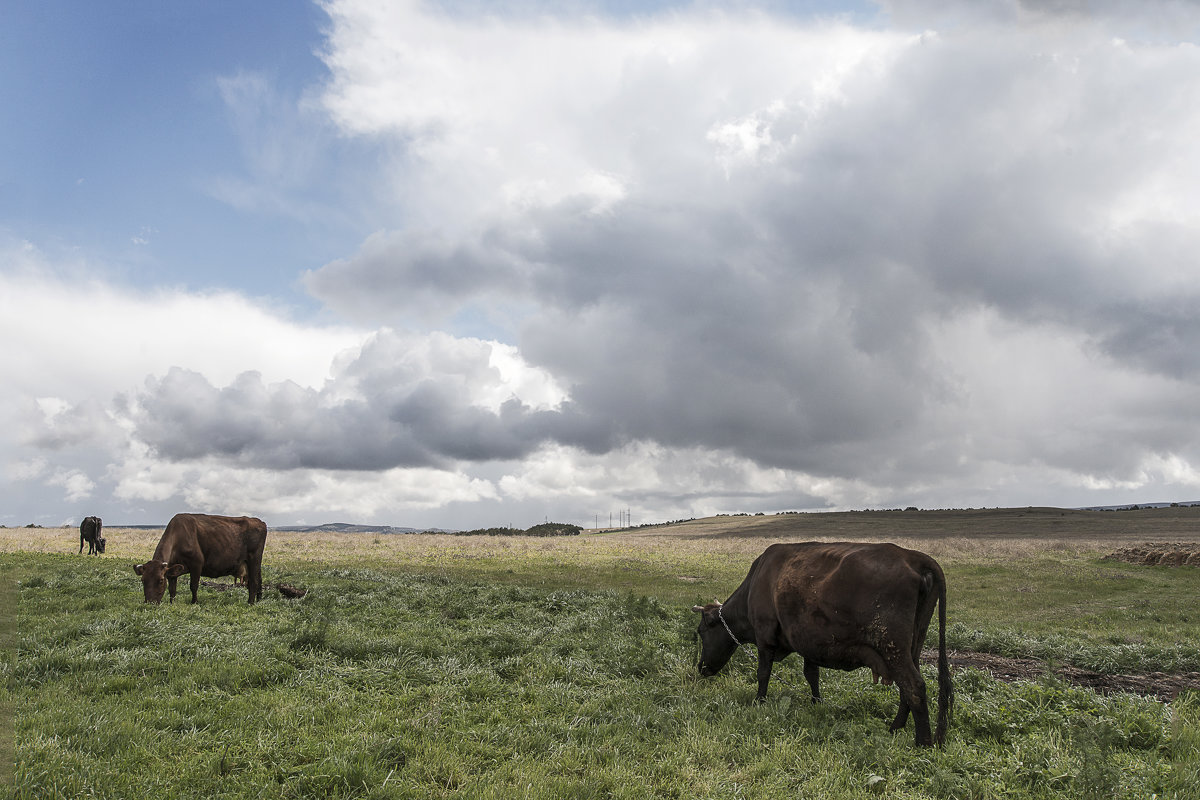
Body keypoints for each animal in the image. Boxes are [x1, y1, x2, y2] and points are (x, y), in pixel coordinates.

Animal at [135, 515, 268, 604]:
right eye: (143, 580)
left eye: (161, 580)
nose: (150, 603)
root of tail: (259, 521)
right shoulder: (172, 570)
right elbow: (172, 590)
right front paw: (172, 603)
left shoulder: (197, 564)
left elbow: (193, 586)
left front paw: (194, 602)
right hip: (253, 563)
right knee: (258, 579)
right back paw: (259, 599)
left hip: (254, 558)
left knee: (254, 581)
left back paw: (250, 603)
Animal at [691, 542, 950, 748]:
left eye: (701, 631)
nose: (701, 667)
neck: (756, 583)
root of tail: (911, 556)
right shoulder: (809, 641)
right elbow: (811, 674)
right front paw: (816, 702)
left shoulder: (765, 637)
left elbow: (763, 673)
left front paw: (759, 702)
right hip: (912, 645)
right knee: (907, 688)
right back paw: (896, 727)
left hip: (892, 647)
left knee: (914, 686)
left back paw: (923, 743)